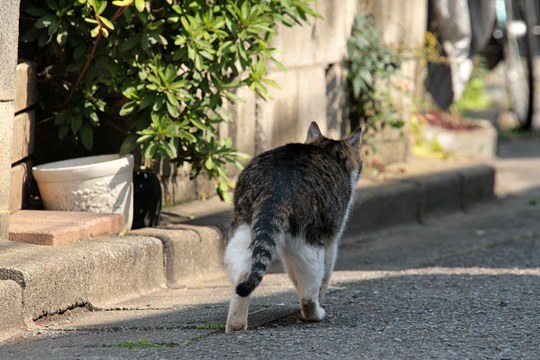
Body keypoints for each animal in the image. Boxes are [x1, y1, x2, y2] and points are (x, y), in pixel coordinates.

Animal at [224, 121, 362, 332]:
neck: (326, 150)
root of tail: (274, 184)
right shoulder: (332, 239)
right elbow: (326, 274)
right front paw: (320, 297)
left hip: (243, 229)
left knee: (244, 272)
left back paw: (236, 324)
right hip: (309, 243)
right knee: (309, 292)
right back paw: (315, 313)